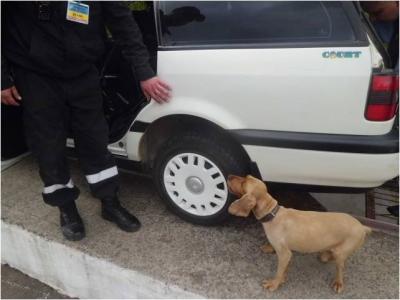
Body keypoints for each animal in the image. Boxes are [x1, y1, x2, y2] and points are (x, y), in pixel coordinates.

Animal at [228, 175, 372, 294]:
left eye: (244, 182)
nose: (229, 176)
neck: (272, 214)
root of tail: (362, 226)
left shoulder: (285, 254)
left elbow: (279, 272)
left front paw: (274, 284)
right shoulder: (286, 255)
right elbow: (284, 270)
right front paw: (282, 278)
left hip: (341, 253)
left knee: (340, 268)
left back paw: (338, 282)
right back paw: (325, 253)